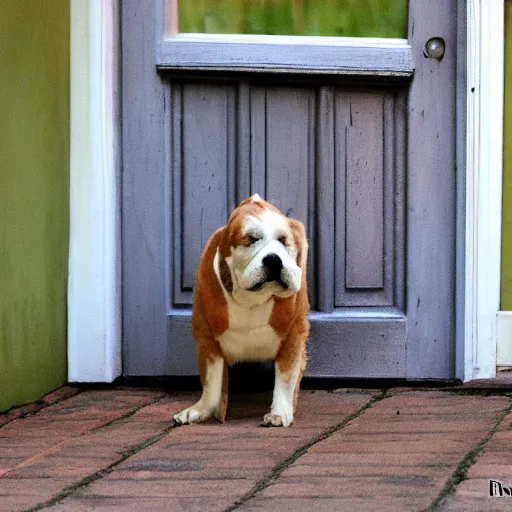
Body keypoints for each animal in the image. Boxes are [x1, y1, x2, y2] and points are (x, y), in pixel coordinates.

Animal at [173, 194, 308, 426]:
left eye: (283, 240)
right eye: (251, 239)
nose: (273, 258)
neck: (251, 301)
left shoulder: (292, 338)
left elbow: (285, 379)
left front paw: (279, 413)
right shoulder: (207, 341)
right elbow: (211, 383)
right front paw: (201, 409)